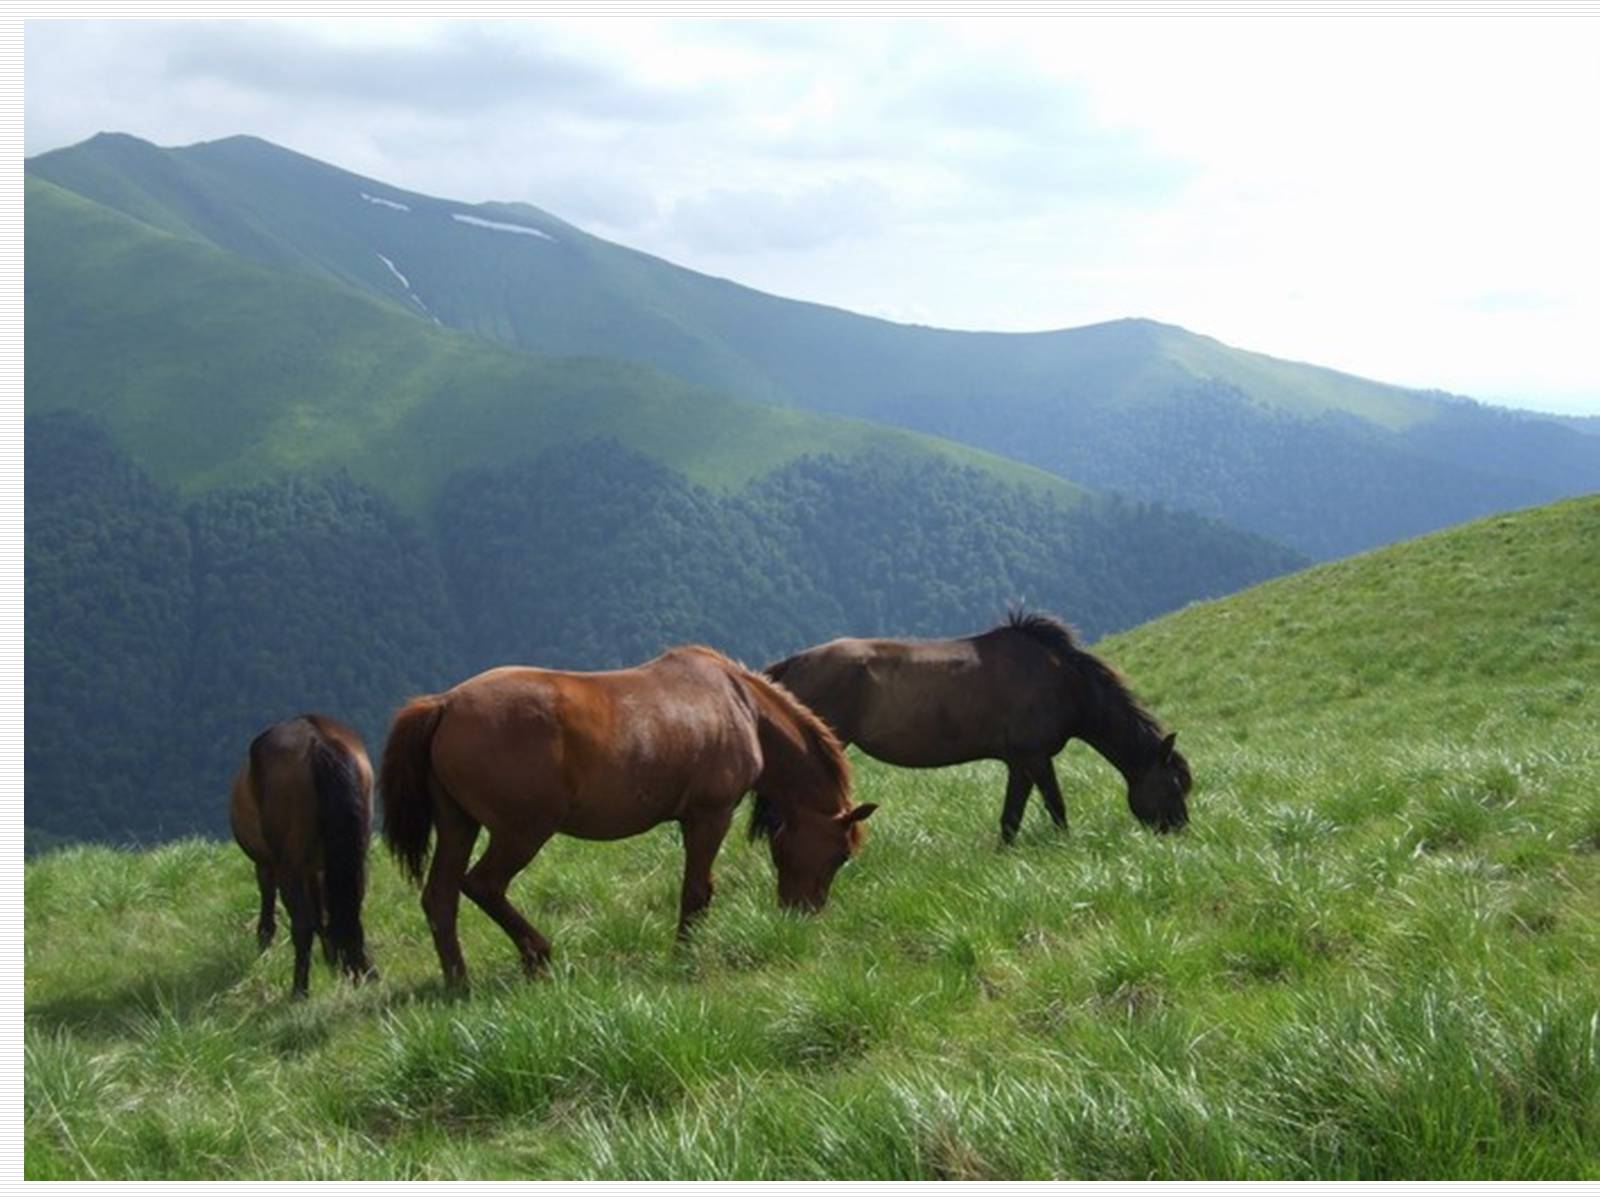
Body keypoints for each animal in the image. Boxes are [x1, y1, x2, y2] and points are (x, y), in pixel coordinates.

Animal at [228, 720, 377, 998]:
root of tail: (317, 740)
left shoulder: (267, 866)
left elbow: (272, 913)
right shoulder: (318, 870)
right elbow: (324, 916)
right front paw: (334, 960)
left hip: (289, 866)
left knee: (302, 926)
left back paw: (299, 990)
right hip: (355, 858)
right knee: (350, 912)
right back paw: (365, 971)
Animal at [377, 643, 876, 992]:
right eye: (839, 855)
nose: (804, 915)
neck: (741, 707)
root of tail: (445, 704)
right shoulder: (709, 815)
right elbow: (697, 891)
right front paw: (683, 955)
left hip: (459, 824)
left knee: (440, 896)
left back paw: (458, 982)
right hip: (521, 831)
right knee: (482, 885)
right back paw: (537, 955)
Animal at [768, 611, 1196, 844]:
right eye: (1173, 786)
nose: (1181, 833)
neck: (1062, 679)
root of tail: (791, 664)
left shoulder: (1020, 762)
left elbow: (1011, 817)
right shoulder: (1036, 758)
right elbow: (1055, 806)